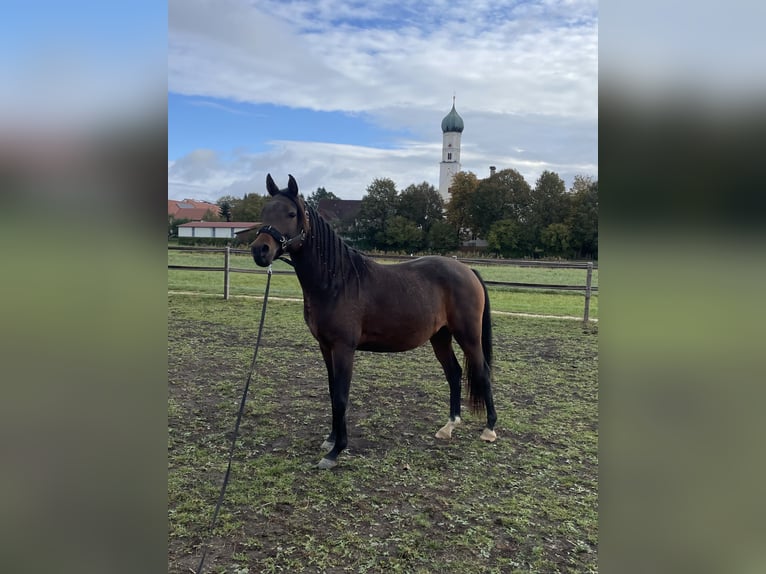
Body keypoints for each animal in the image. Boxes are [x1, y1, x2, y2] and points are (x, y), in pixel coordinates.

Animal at [252, 174, 498, 468]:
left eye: (290, 213)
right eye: (264, 211)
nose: (260, 250)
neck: (336, 281)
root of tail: (467, 270)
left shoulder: (344, 348)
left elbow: (341, 396)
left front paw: (336, 452)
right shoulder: (325, 347)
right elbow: (332, 391)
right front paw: (331, 440)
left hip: (468, 336)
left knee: (483, 372)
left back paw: (489, 429)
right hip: (440, 337)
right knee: (454, 373)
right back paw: (449, 426)